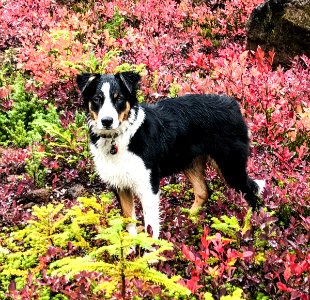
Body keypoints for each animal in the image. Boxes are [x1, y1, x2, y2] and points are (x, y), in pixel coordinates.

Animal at [77, 71, 264, 238]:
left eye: (119, 99)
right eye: (96, 99)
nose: (107, 121)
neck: (119, 138)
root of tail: (233, 104)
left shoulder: (149, 185)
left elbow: (151, 228)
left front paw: (151, 253)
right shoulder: (120, 185)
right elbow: (129, 221)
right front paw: (130, 251)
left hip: (230, 166)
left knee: (252, 197)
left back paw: (248, 231)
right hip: (191, 163)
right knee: (203, 192)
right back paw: (186, 222)